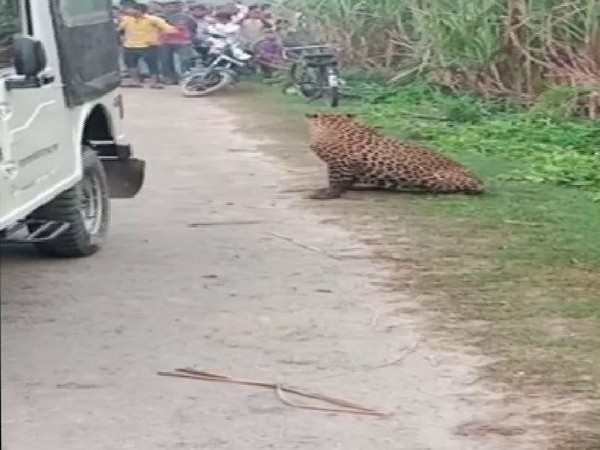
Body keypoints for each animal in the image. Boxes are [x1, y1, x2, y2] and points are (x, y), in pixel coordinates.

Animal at [308, 112, 486, 199]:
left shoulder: (340, 163)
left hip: (433, 177)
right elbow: (347, 181)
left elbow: (335, 181)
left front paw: (327, 195)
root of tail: (479, 180)